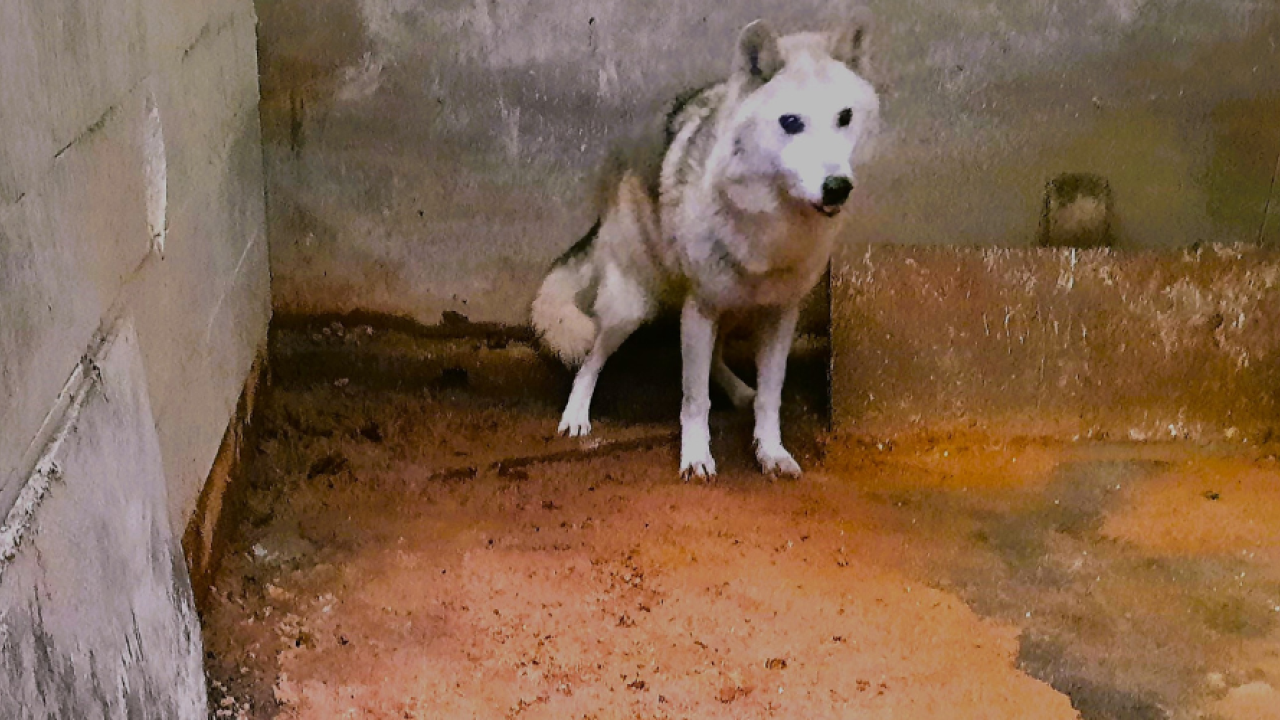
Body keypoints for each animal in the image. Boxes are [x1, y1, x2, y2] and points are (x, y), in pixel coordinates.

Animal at [530, 6, 882, 480]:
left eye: (845, 117)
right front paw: (696, 457)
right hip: (631, 308)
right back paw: (576, 416)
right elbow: (694, 399)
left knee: (714, 359)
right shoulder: (702, 308)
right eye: (791, 122)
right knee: (592, 357)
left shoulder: (778, 316)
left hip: (725, 311)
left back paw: (739, 392)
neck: (772, 227)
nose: (837, 187)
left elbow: (770, 396)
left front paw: (771, 452)